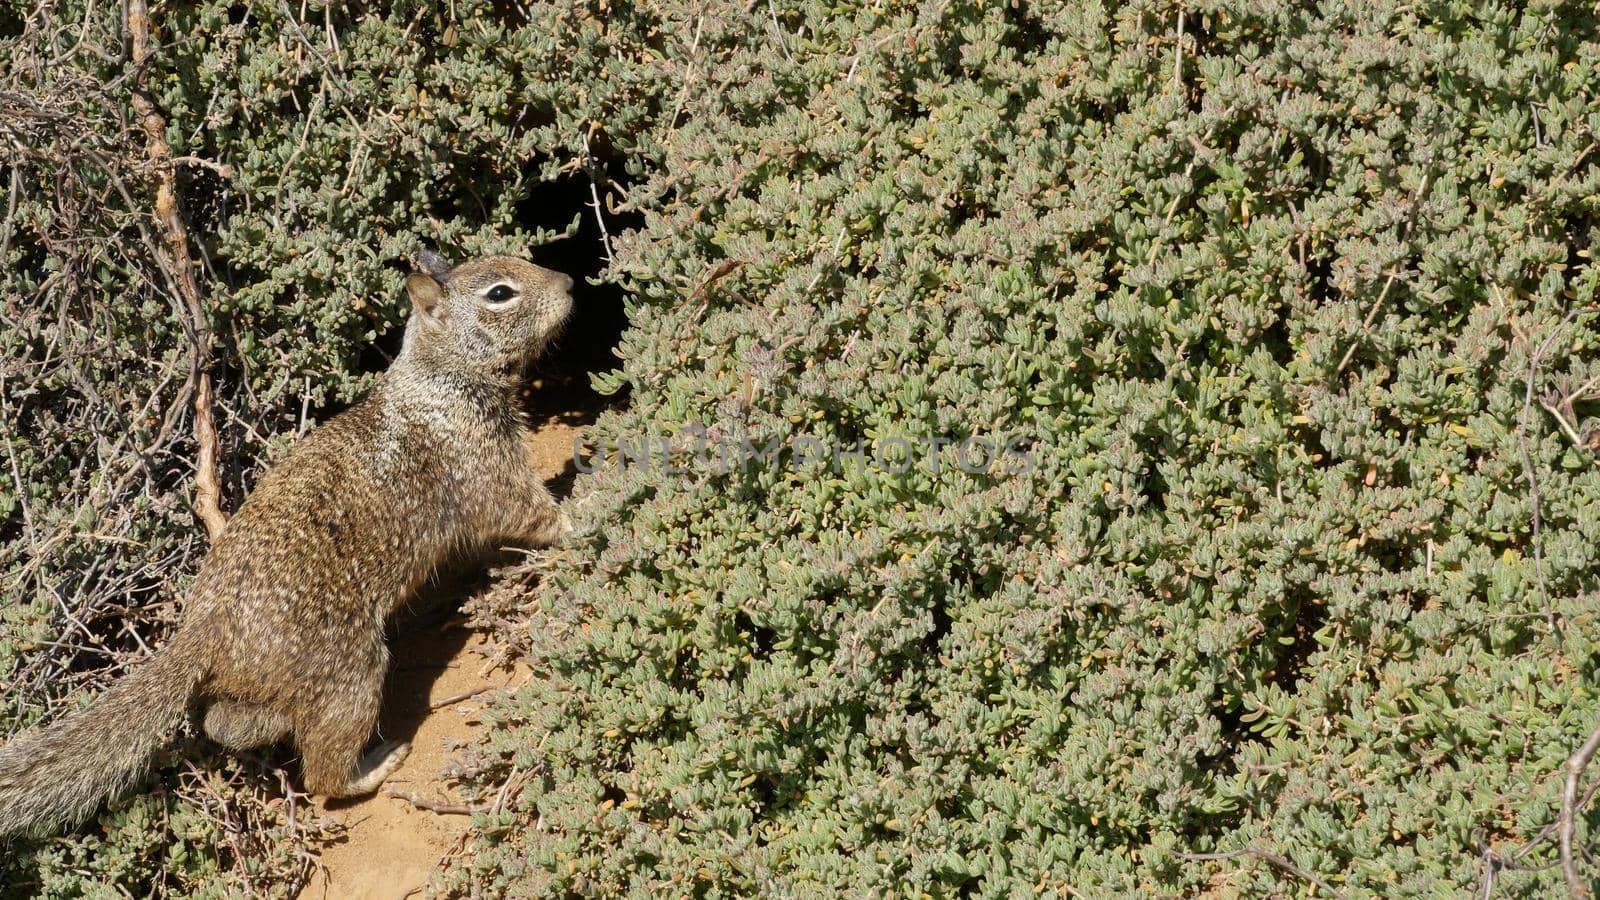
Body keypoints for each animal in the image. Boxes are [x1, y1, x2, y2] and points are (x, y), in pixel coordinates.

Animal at [0, 249, 576, 832]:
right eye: (500, 293)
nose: (570, 281)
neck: (437, 379)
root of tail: (204, 628)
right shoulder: (485, 465)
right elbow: (532, 512)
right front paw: (584, 516)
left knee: (227, 723)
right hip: (350, 674)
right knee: (322, 774)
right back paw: (374, 766)